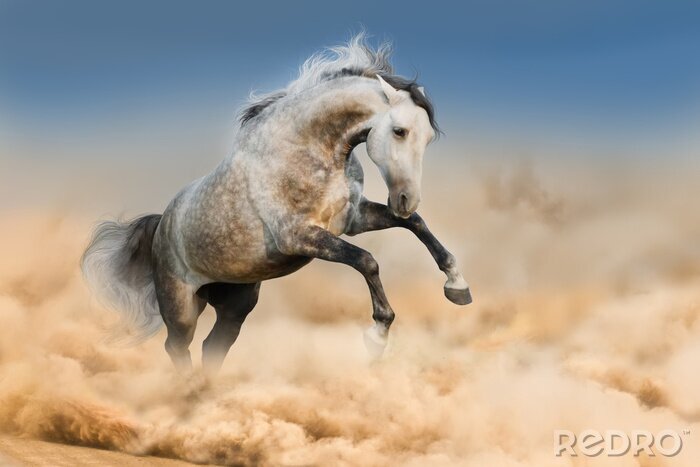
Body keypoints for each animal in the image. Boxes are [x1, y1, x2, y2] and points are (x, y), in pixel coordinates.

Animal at [81, 35, 471, 375]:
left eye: (429, 137)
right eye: (400, 131)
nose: (405, 198)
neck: (307, 150)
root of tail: (162, 224)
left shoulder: (352, 219)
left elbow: (415, 224)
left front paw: (457, 287)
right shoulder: (300, 236)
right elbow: (367, 261)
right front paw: (376, 337)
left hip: (236, 304)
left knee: (213, 346)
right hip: (181, 309)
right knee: (177, 347)